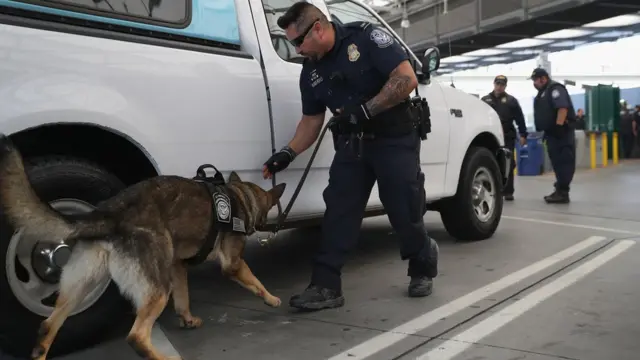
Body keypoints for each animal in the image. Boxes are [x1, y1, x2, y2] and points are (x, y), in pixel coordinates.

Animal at [0, 134, 288, 358]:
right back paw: (164, 358)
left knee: (48, 325)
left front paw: (187, 319)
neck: (239, 196)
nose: (270, 225)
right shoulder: (232, 264)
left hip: (80, 285)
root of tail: (107, 215)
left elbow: (183, 298)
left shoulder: (177, 267)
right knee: (136, 337)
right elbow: (255, 281)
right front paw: (272, 299)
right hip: (156, 290)